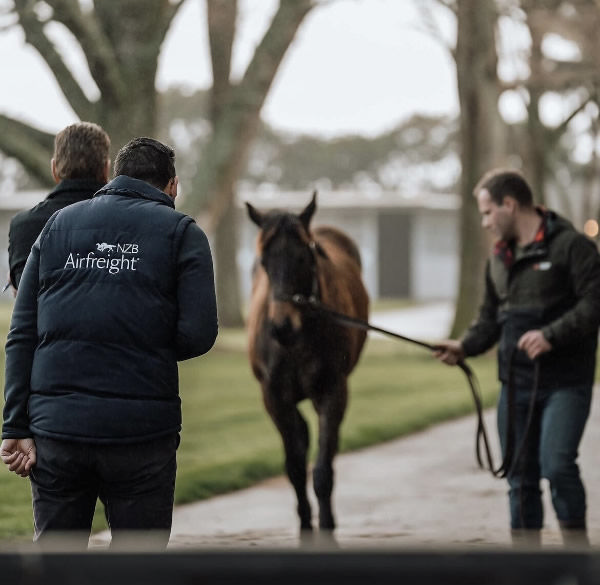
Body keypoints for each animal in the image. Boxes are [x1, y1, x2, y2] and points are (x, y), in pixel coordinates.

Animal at [245, 190, 368, 532]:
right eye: (264, 262)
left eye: (304, 257)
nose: (281, 326)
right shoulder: (274, 397)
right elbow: (295, 465)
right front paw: (304, 522)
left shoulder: (332, 391)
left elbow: (323, 467)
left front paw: (326, 523)